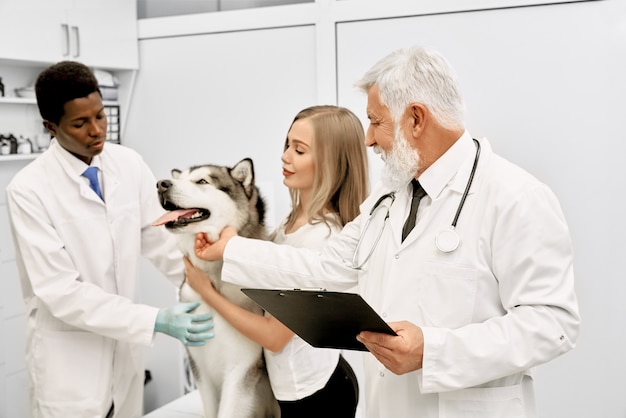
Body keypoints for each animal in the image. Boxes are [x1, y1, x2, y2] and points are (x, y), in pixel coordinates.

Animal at [151, 159, 278, 418]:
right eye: (179, 178)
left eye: (202, 181)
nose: (161, 184)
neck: (213, 281)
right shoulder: (201, 369)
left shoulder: (241, 369)